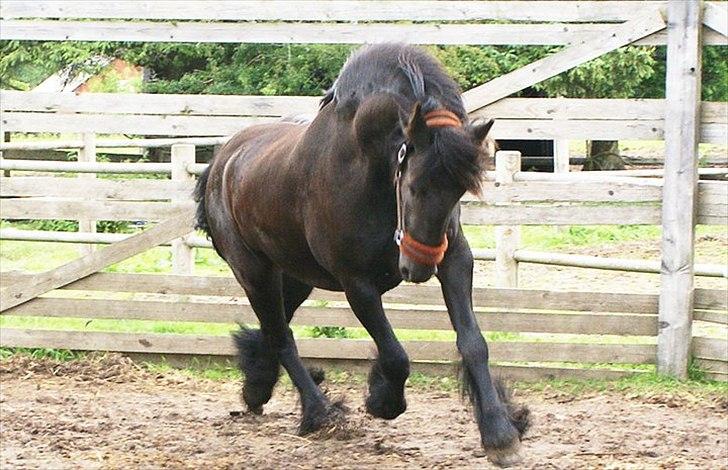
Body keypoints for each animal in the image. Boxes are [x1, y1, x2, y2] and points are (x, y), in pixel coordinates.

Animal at [196, 44, 528, 466]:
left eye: (459, 190)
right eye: (415, 185)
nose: (419, 266)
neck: (369, 168)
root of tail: (220, 163)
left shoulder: (455, 260)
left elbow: (473, 344)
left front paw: (501, 431)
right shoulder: (357, 284)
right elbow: (396, 356)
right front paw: (381, 398)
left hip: (297, 276)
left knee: (271, 330)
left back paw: (258, 386)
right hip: (254, 272)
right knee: (281, 335)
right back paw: (319, 412)